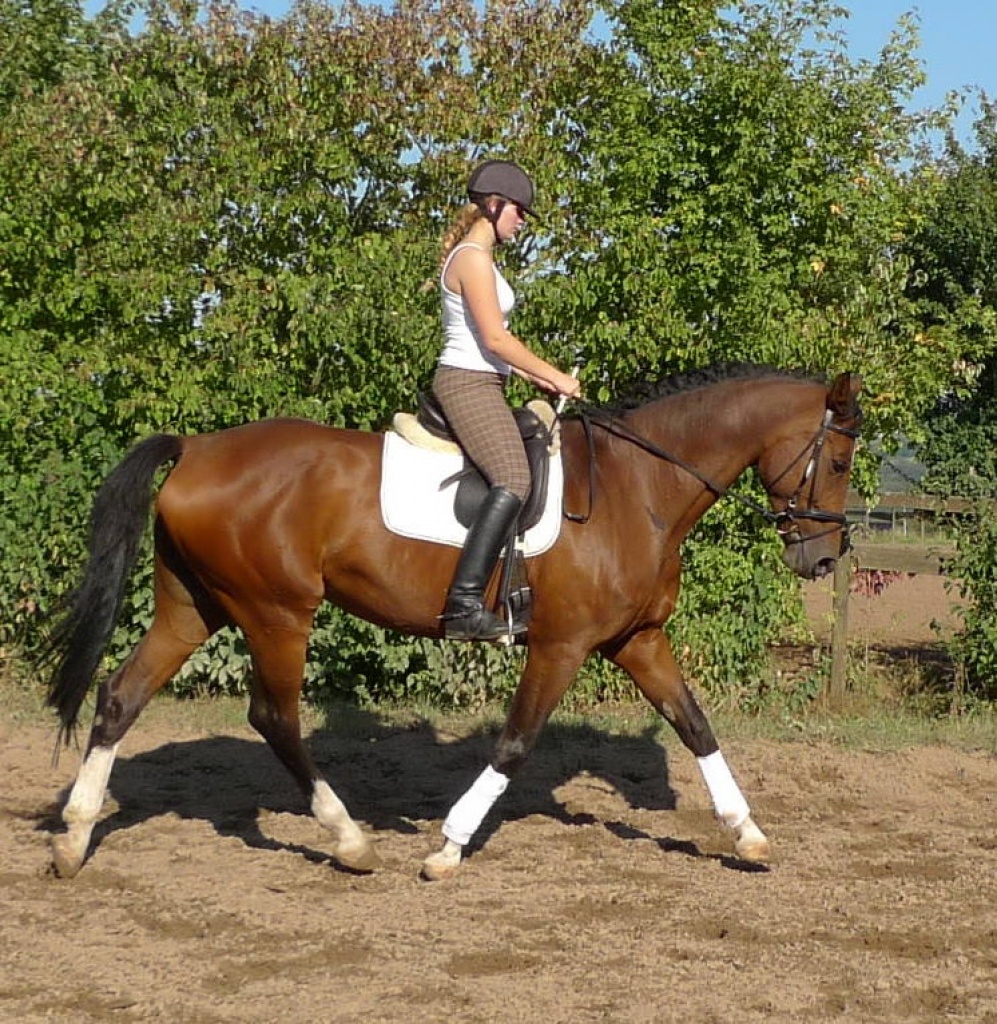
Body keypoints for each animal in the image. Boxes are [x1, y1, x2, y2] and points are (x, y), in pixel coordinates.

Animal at [45, 363, 861, 880]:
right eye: (840, 461)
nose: (822, 559)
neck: (641, 487)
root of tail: (196, 448)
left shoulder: (637, 641)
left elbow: (694, 725)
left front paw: (747, 835)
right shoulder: (561, 645)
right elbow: (516, 743)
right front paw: (447, 847)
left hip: (195, 605)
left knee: (120, 696)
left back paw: (75, 840)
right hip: (276, 612)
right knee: (273, 716)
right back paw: (349, 840)